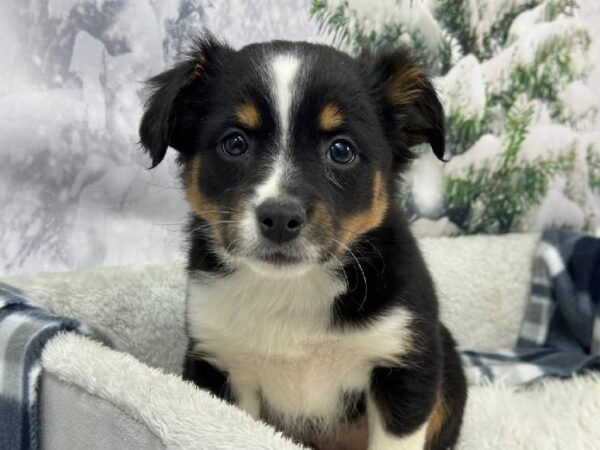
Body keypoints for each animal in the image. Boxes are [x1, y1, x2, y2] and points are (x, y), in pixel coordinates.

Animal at [138, 33, 466, 448]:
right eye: (235, 143)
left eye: (341, 150)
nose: (280, 218)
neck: (293, 290)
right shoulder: (221, 363)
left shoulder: (405, 364)